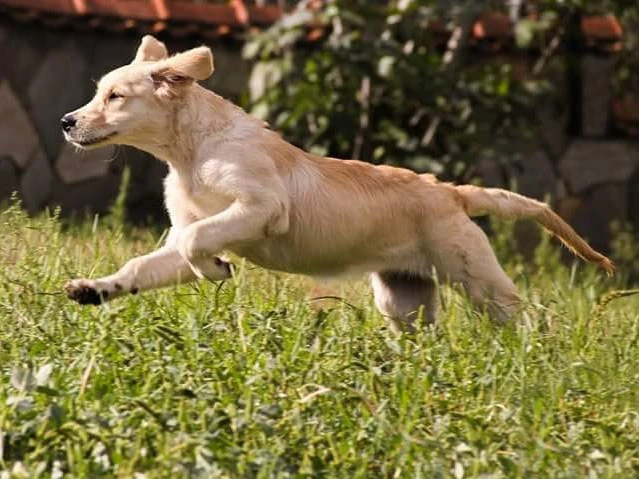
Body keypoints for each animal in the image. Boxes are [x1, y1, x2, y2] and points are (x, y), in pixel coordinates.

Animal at [63, 36, 616, 330]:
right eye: (98, 92)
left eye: (115, 96)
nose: (67, 122)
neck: (190, 151)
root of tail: (450, 191)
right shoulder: (183, 232)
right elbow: (147, 262)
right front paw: (96, 289)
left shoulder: (263, 207)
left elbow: (201, 240)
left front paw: (216, 269)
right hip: (403, 298)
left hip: (479, 280)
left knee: (525, 321)